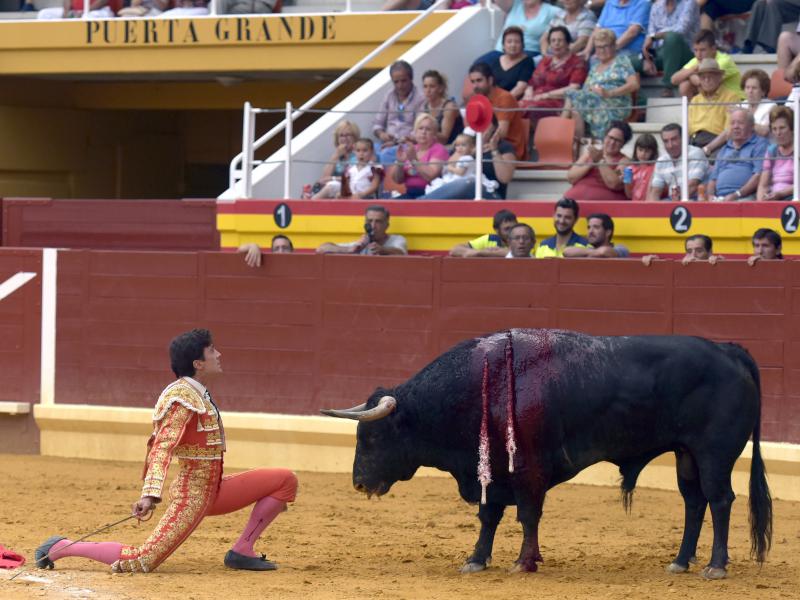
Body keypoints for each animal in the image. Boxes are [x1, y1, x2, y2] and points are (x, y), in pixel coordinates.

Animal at [321, 329, 772, 579]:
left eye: (373, 437)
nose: (359, 483)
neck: (483, 386)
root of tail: (728, 351)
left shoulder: (527, 471)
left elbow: (527, 516)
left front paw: (524, 562)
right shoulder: (491, 474)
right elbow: (489, 517)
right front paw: (477, 559)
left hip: (713, 454)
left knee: (721, 500)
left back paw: (716, 566)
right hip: (685, 455)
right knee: (694, 503)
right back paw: (680, 562)